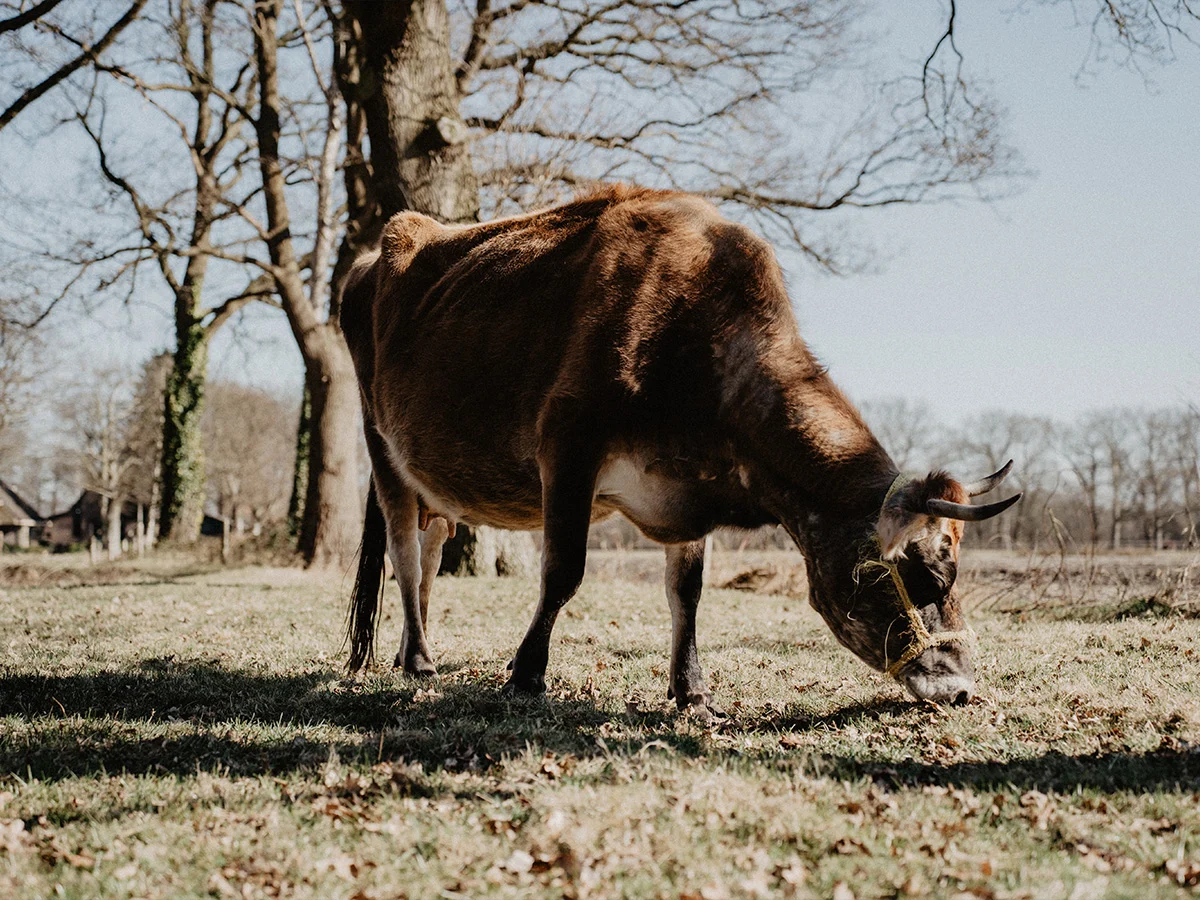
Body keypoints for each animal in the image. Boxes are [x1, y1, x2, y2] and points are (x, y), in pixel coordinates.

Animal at [339, 185, 1020, 712]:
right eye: (927, 577)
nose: (963, 688)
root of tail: (386, 242)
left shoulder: (691, 485)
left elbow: (686, 592)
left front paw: (691, 689)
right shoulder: (568, 443)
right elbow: (563, 570)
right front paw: (527, 673)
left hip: (434, 483)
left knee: (429, 551)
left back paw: (411, 650)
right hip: (382, 448)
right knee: (404, 555)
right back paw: (420, 660)